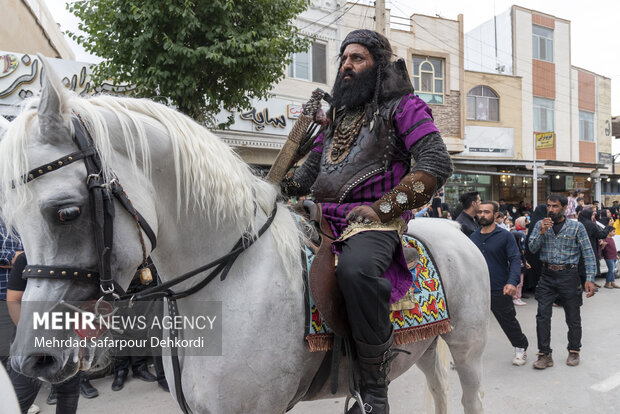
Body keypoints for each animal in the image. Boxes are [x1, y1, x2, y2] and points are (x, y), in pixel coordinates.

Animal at [2, 65, 492, 414]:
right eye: (14, 222)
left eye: (66, 212)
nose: (32, 360)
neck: (229, 285)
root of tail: (454, 229)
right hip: (425, 348)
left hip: (467, 351)